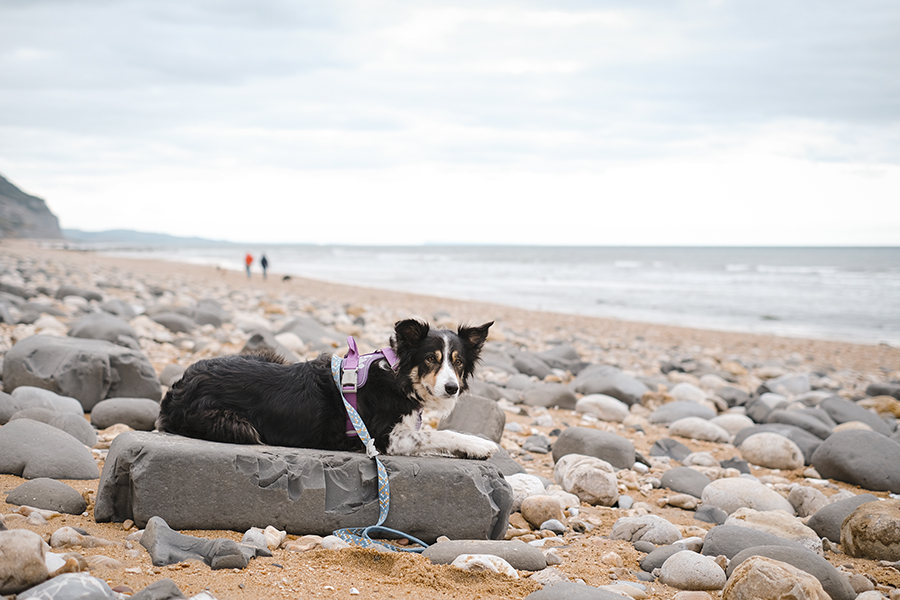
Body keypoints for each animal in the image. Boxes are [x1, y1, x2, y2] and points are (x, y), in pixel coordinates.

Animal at [155, 318, 500, 460]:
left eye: (457, 362)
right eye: (431, 359)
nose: (452, 389)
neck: (397, 377)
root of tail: (178, 388)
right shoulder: (383, 437)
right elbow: (440, 434)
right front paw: (479, 445)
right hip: (236, 424)